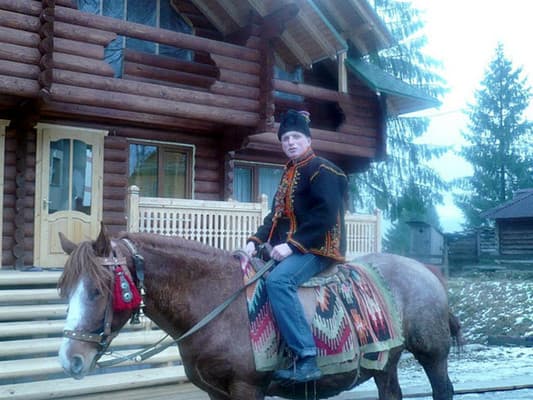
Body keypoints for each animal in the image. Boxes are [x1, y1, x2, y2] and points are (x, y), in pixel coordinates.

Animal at [57, 224, 461, 400]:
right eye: (66, 291)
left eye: (97, 290)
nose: (69, 360)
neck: (218, 302)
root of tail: (429, 271)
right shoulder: (216, 394)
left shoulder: (247, 389)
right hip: (386, 363)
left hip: (432, 354)